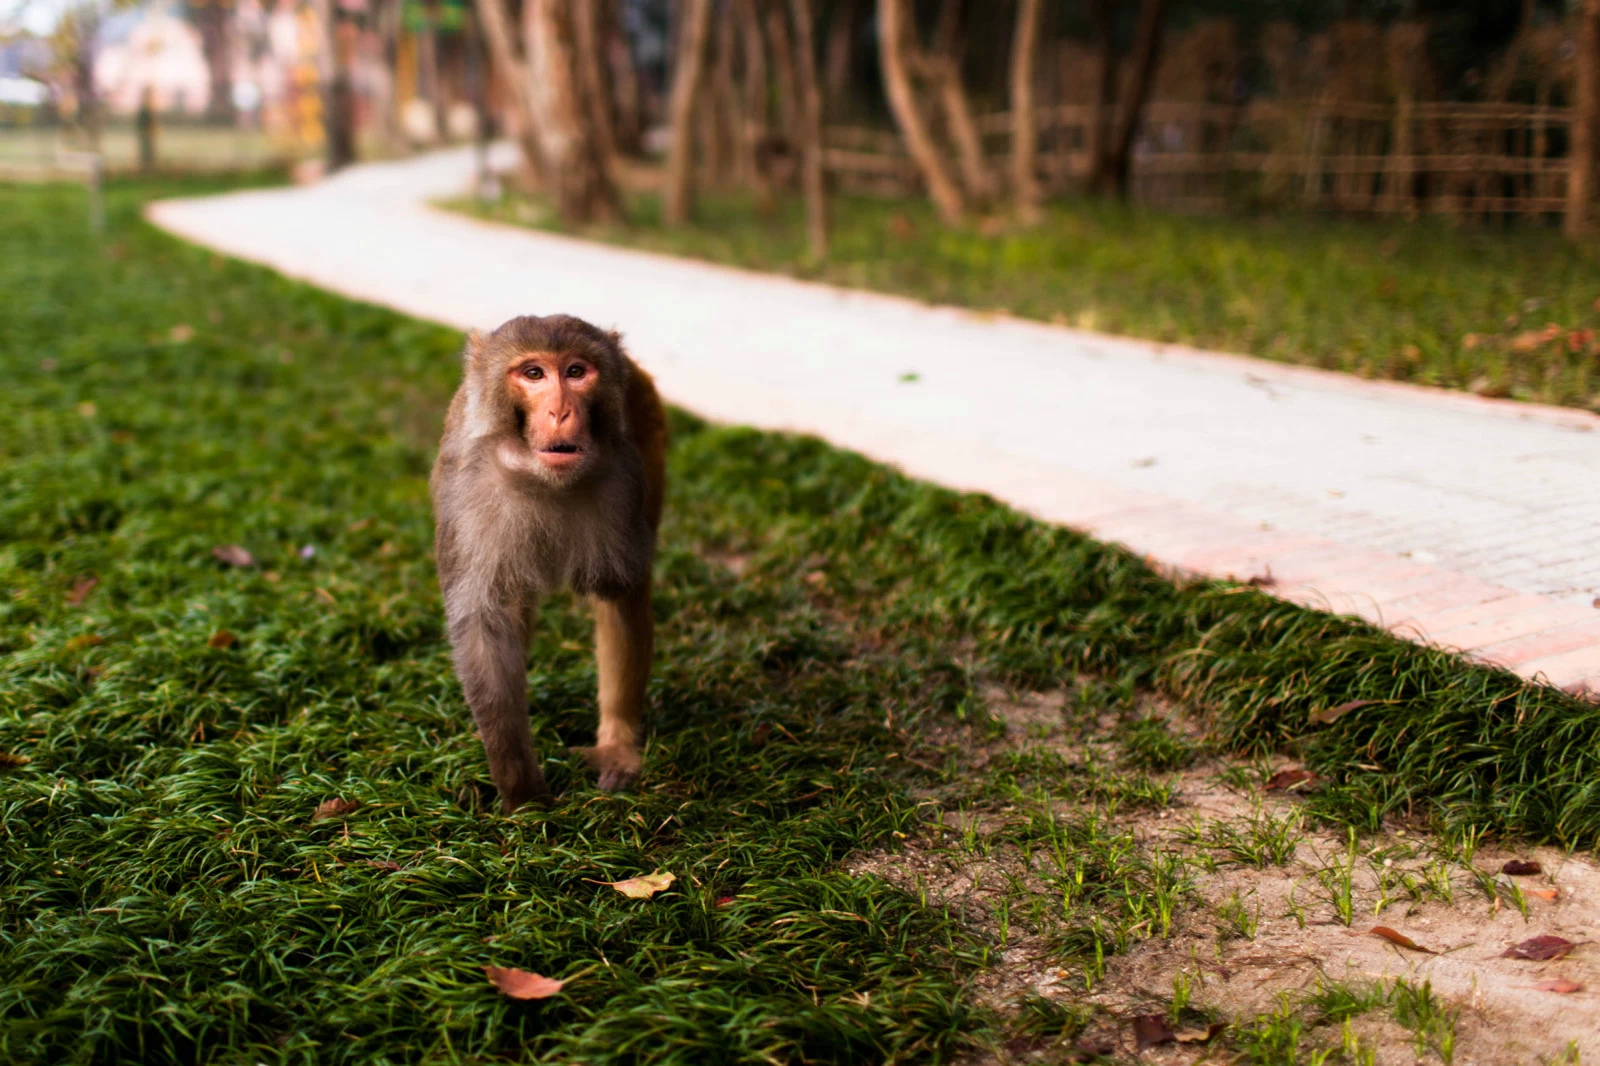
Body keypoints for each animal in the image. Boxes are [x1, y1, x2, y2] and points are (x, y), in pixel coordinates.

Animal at [428, 312, 665, 809]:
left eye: (576, 372)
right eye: (534, 374)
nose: (560, 412)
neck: (542, 479)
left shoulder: (624, 476)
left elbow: (619, 591)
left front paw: (616, 748)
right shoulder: (467, 488)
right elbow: (484, 622)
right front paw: (524, 793)